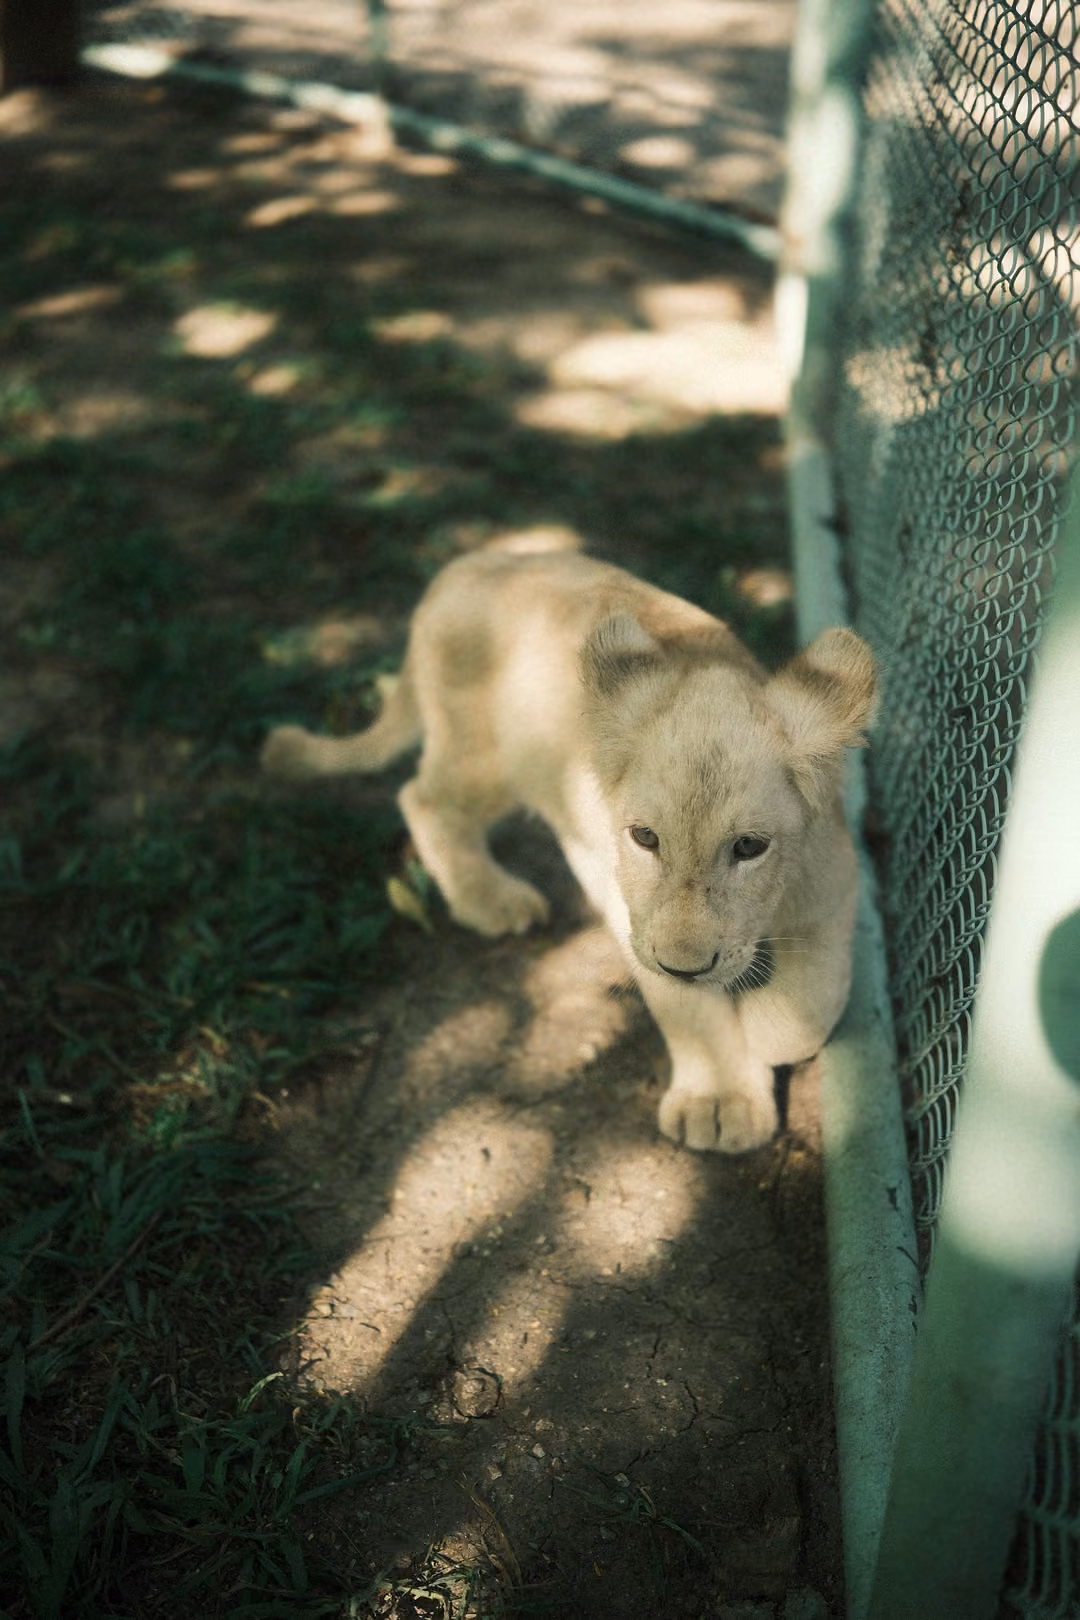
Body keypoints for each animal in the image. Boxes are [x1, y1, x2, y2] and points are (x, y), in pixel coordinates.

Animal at [262, 532, 877, 1153]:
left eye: (749, 846)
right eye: (645, 837)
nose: (686, 966)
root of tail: (463, 568)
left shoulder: (836, 880)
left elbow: (813, 1001)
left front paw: (765, 1033)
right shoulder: (638, 918)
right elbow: (688, 1008)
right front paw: (718, 1102)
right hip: (484, 756)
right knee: (422, 798)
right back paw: (492, 901)